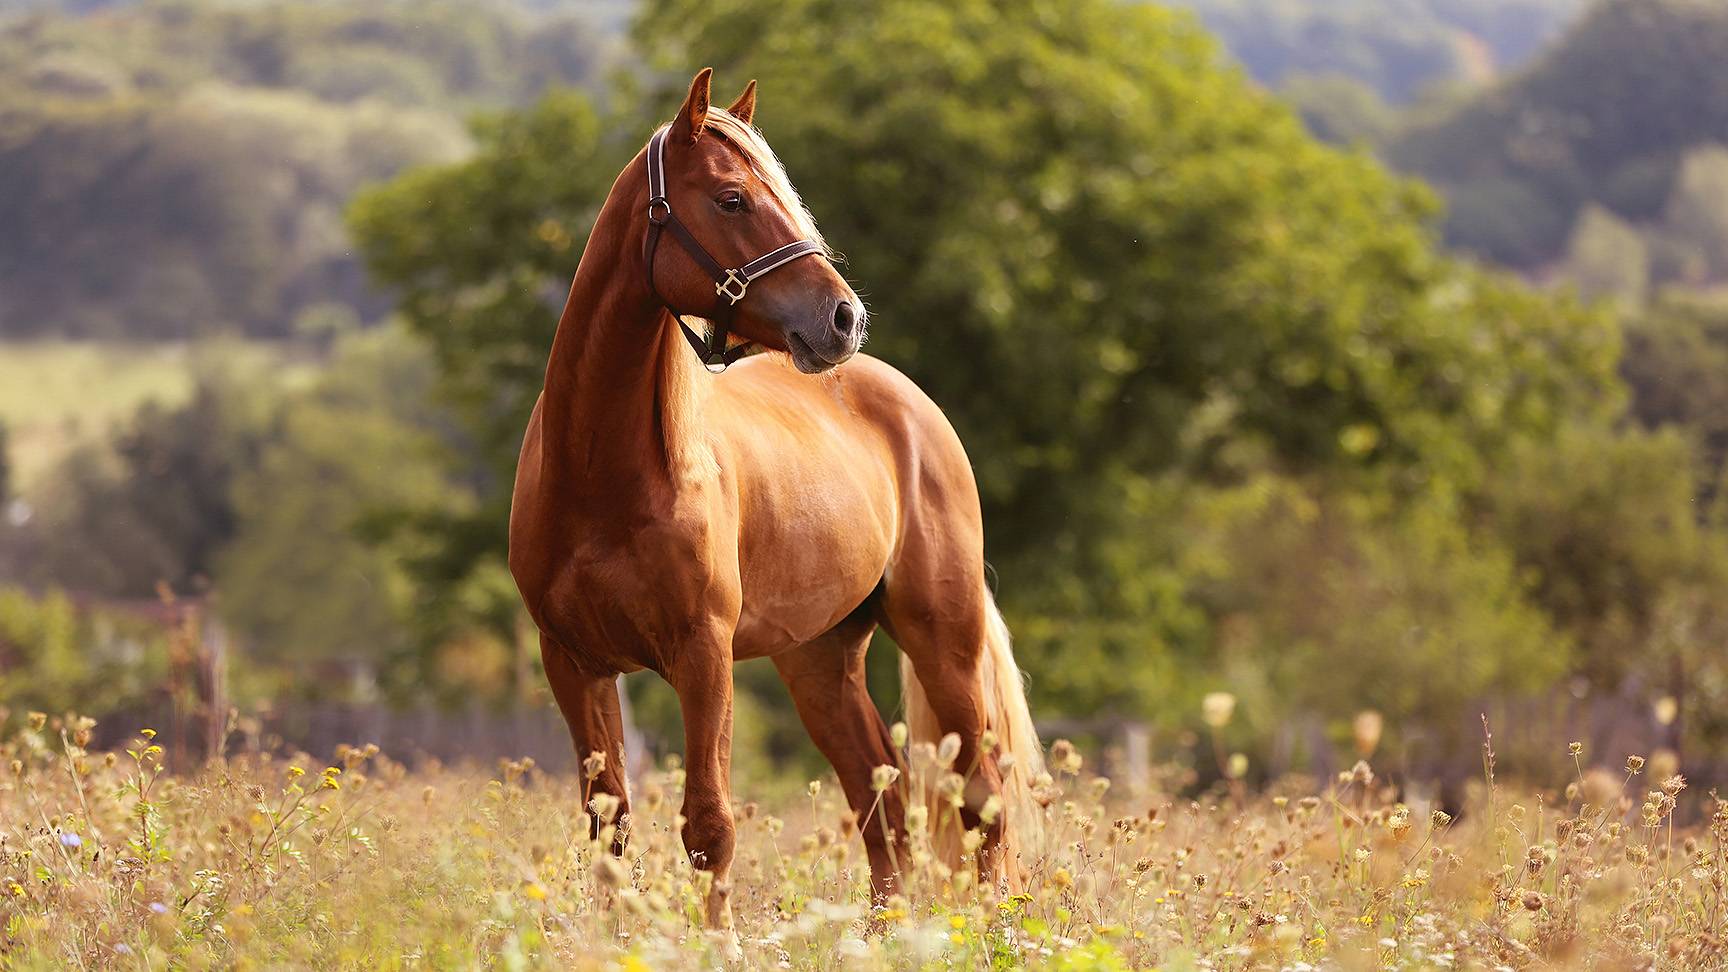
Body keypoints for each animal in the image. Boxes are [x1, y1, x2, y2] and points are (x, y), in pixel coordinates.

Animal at [508, 68, 1044, 930]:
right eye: (731, 199)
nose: (844, 317)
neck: (603, 478)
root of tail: (911, 404)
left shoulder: (702, 655)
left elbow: (709, 825)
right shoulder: (574, 664)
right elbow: (609, 829)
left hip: (944, 642)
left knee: (980, 800)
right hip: (819, 660)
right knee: (882, 802)